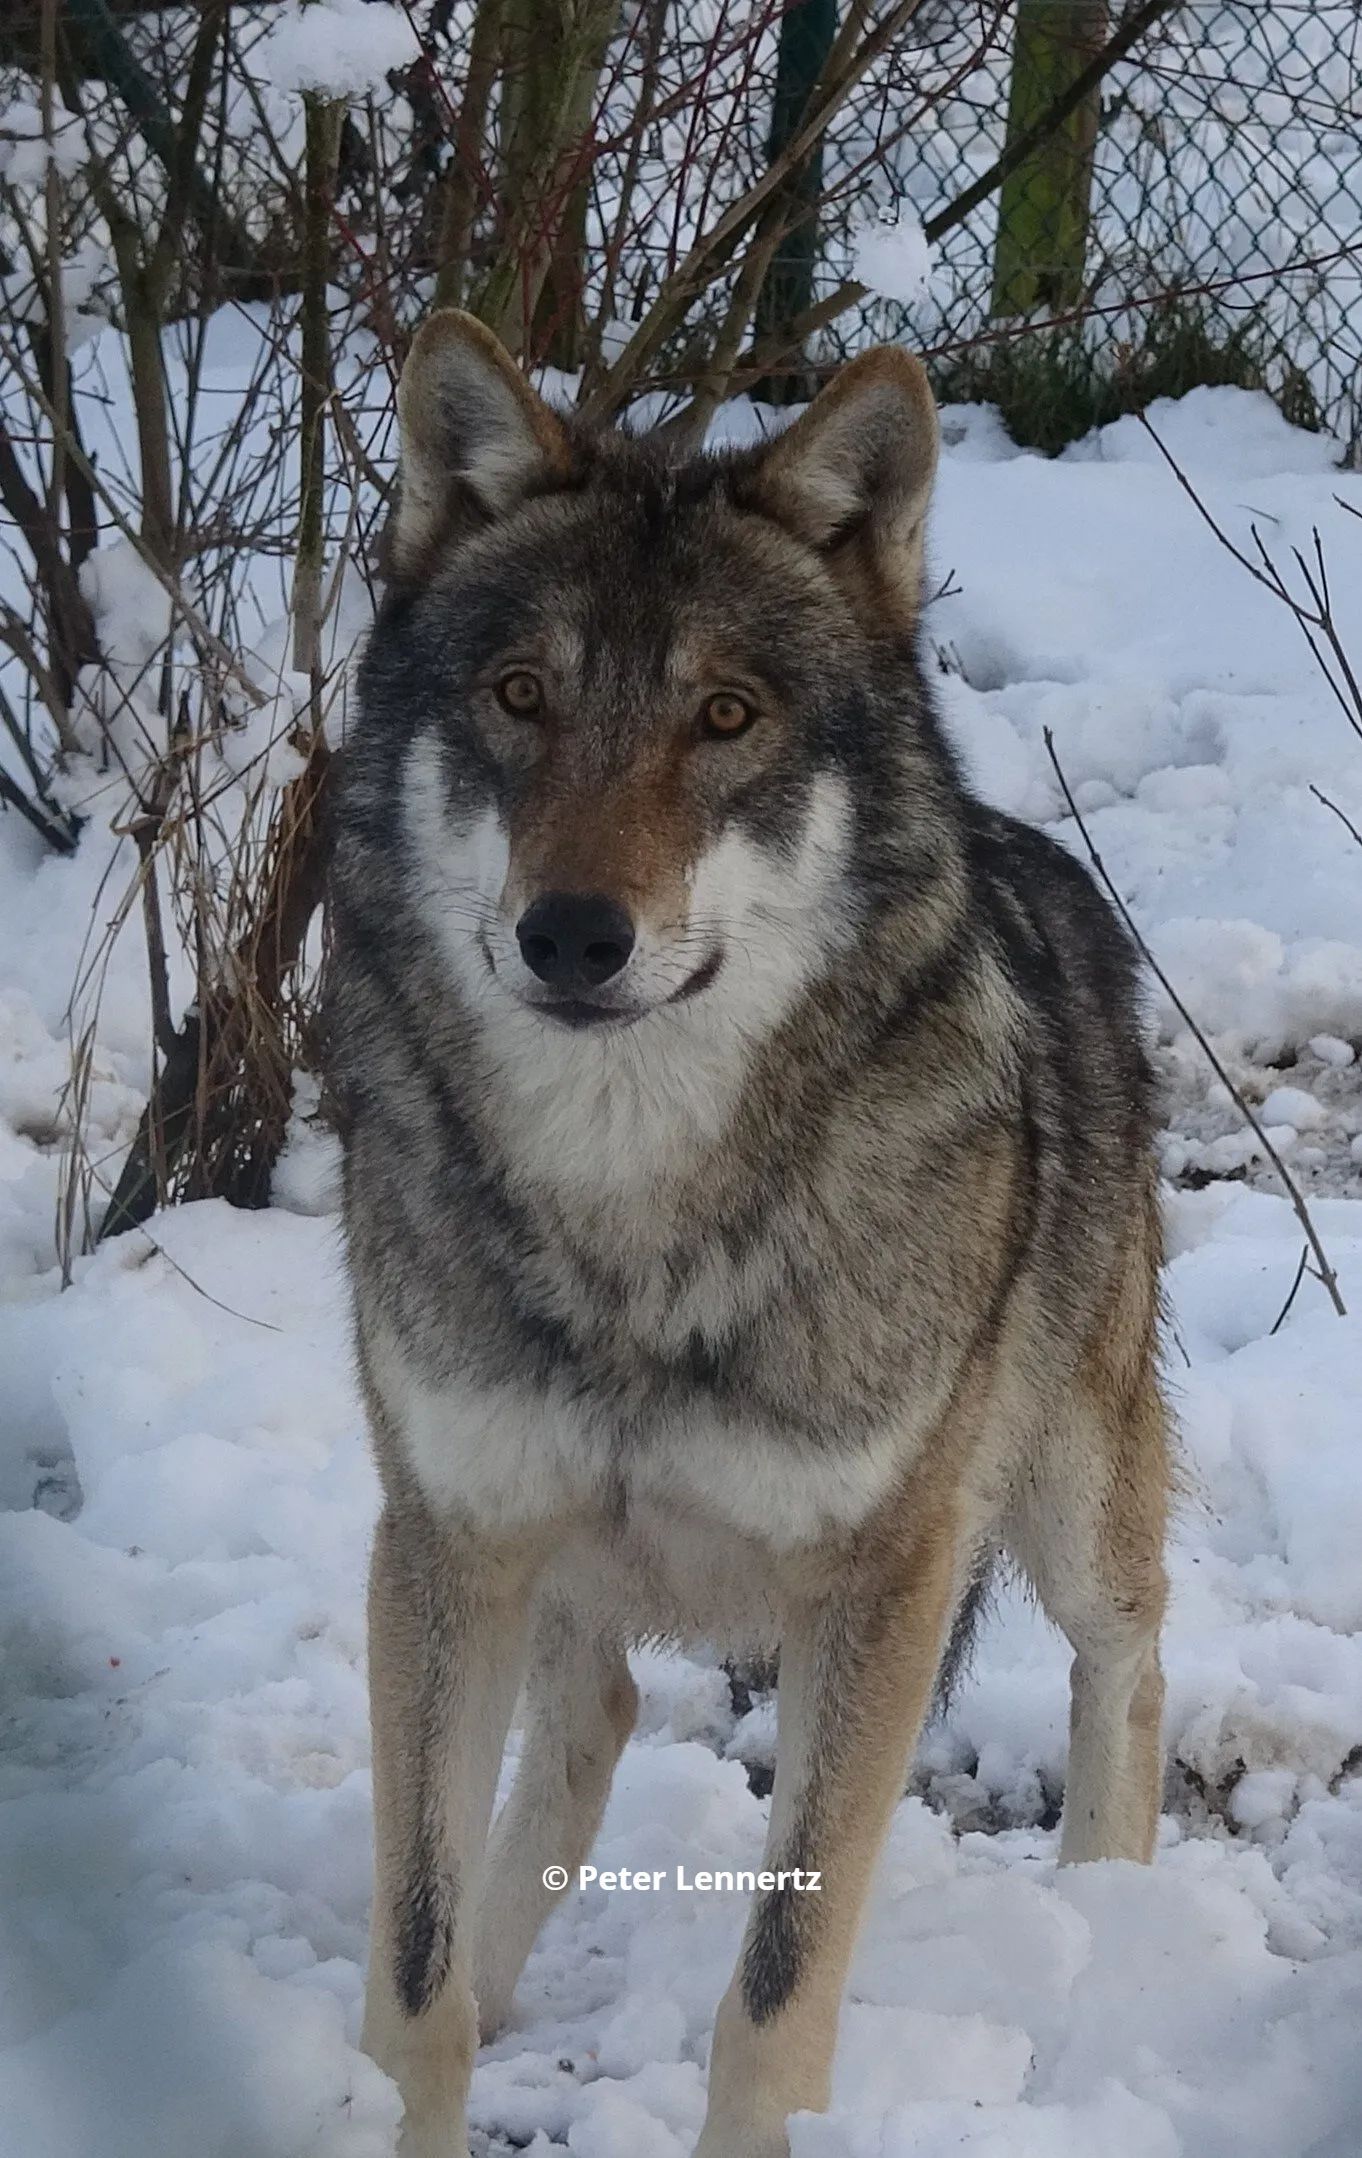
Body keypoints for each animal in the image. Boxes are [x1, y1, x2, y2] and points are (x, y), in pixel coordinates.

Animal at [328, 310, 1171, 2158]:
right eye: (520, 696)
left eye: (724, 715)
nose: (573, 935)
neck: (632, 1219)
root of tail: (1027, 849)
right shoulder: (443, 1541)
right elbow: (412, 1975)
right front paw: (421, 2061)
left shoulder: (882, 1582)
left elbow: (774, 1996)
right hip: (560, 1566)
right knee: (594, 1721)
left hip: (1065, 1500)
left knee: (1128, 1664)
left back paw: (1107, 1929)